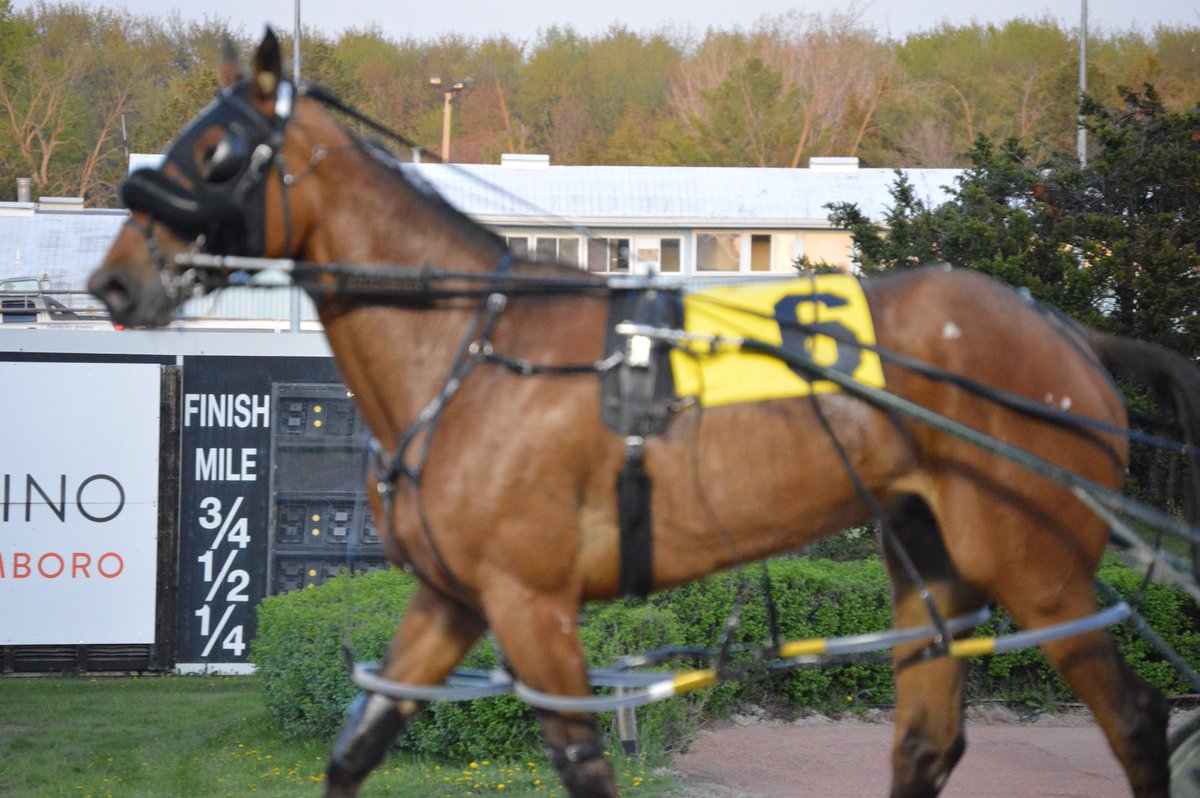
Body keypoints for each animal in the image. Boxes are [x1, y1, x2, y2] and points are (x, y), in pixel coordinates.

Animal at [88, 29, 1200, 798]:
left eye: (218, 151)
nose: (112, 279)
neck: (475, 350)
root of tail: (1068, 333)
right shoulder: (452, 598)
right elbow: (354, 749)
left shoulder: (532, 602)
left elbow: (583, 760)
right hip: (928, 556)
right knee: (927, 742)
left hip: (1032, 556)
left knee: (1138, 717)